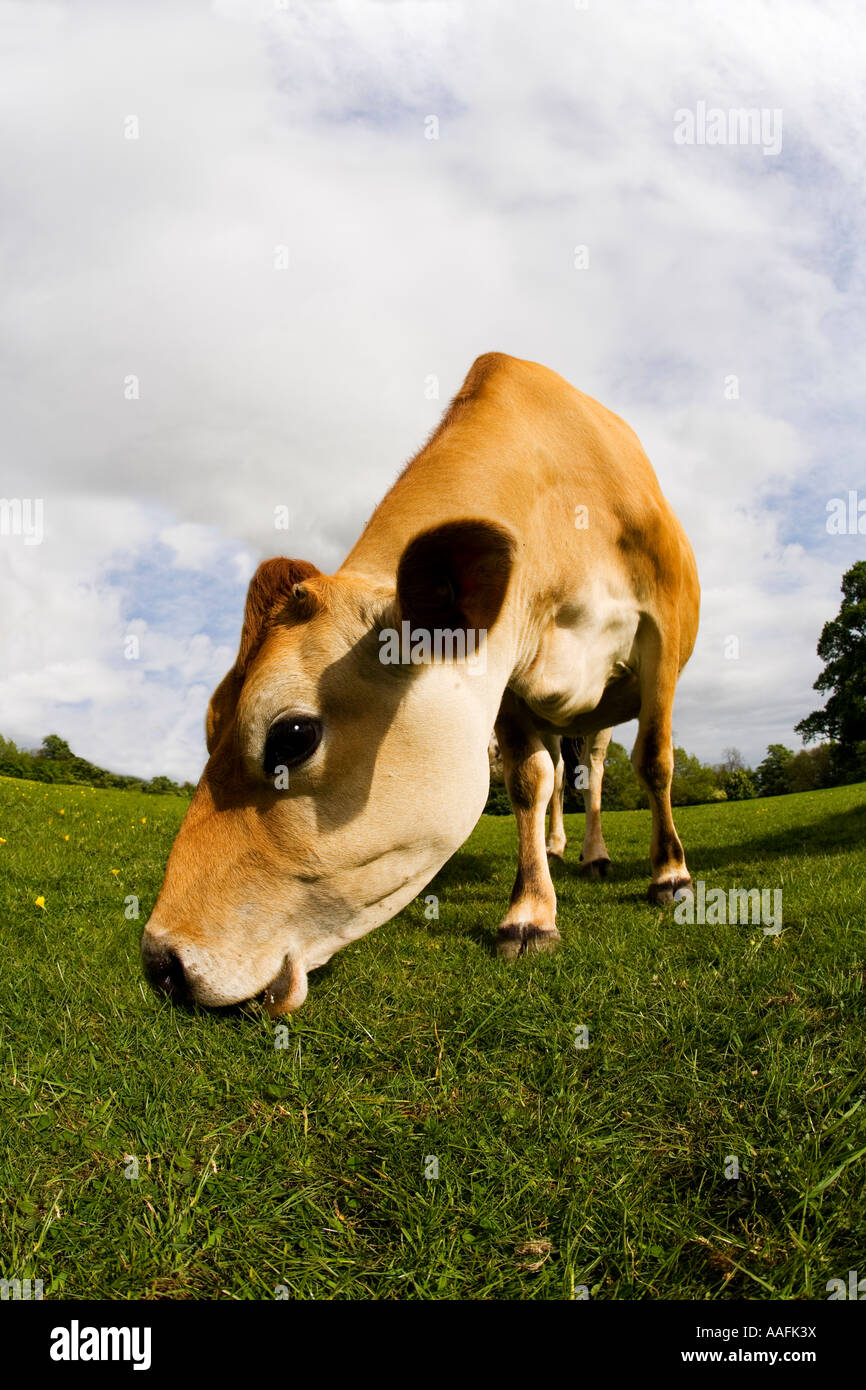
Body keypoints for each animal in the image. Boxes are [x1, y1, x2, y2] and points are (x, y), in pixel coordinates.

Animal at [141, 353, 700, 1013]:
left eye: (293, 736)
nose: (160, 962)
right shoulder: (506, 681)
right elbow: (527, 782)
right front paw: (532, 912)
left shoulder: (662, 630)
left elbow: (656, 762)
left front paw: (670, 877)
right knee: (561, 771)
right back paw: (557, 848)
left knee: (595, 764)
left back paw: (595, 855)